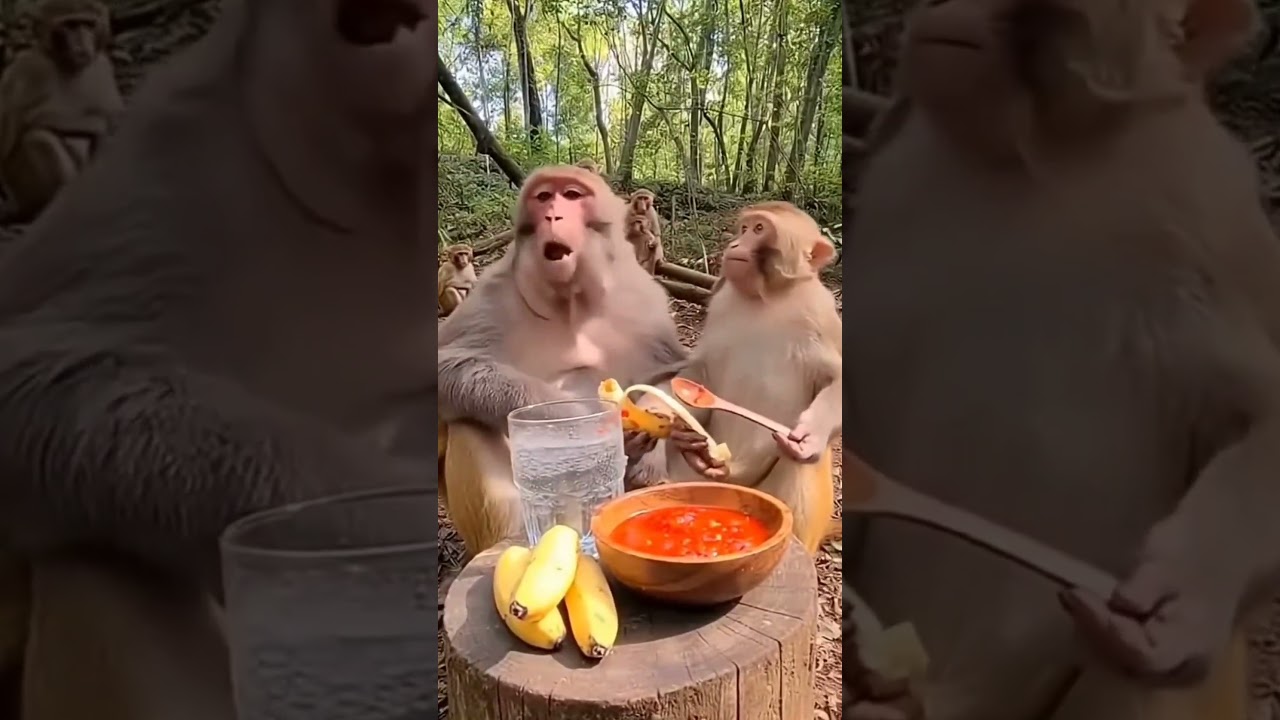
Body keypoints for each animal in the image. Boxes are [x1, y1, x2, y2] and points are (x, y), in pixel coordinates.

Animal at [0, 0, 123, 224]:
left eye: (88, 24)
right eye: (70, 25)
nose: (82, 43)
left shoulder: (102, 66)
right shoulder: (26, 69)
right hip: (24, 194)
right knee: (38, 139)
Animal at [438, 164, 688, 557]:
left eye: (571, 195)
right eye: (543, 197)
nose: (552, 215)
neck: (570, 301)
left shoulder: (644, 298)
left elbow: (670, 373)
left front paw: (647, 442)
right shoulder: (495, 290)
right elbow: (445, 364)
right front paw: (575, 417)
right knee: (469, 420)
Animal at [650, 201, 841, 558]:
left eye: (759, 229)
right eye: (744, 228)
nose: (735, 244)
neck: (769, 297)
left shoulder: (821, 316)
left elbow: (836, 382)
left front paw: (810, 436)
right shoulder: (721, 304)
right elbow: (699, 375)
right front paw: (663, 413)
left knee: (796, 465)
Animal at [842, 0, 1280, 718]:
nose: (942, 9)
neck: (1040, 164)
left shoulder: (1211, 221)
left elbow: (1261, 412)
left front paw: (1187, 595)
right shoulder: (892, 186)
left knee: (1125, 675)